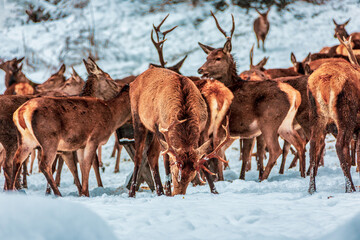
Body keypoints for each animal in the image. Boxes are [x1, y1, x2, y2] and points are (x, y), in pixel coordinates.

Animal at [10, 58, 132, 197]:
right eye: (109, 78)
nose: (121, 87)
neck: (110, 113)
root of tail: (20, 112)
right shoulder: (93, 139)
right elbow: (88, 164)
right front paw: (87, 192)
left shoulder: (79, 145)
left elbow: (80, 166)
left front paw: (83, 192)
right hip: (49, 139)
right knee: (44, 165)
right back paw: (57, 193)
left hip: (26, 140)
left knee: (16, 160)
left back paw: (10, 190)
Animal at [198, 11, 306, 180]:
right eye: (207, 57)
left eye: (218, 58)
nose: (200, 69)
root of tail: (294, 95)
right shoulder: (245, 133)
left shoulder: (223, 128)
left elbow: (218, 156)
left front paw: (219, 179)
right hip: (286, 124)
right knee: (300, 144)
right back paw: (302, 174)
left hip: (269, 121)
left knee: (276, 149)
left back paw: (263, 178)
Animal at [306, 35, 360, 193]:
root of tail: (325, 81)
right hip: (346, 114)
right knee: (340, 145)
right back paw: (350, 188)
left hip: (317, 116)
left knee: (313, 145)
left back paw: (312, 189)